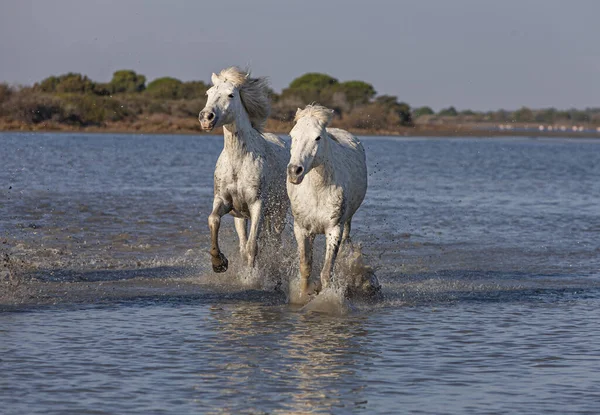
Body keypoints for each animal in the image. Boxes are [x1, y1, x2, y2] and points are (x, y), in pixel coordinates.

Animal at [198, 67, 290, 274]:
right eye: (208, 93)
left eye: (230, 95)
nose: (206, 118)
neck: (237, 161)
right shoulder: (224, 201)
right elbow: (213, 220)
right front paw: (219, 262)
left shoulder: (257, 205)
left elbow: (252, 246)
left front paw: (251, 276)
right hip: (241, 217)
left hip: (278, 212)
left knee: (274, 241)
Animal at [284, 104, 366, 302]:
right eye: (292, 135)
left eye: (317, 137)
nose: (294, 171)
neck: (317, 191)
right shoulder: (302, 229)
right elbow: (305, 265)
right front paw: (304, 295)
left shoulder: (334, 229)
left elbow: (327, 271)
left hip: (346, 222)